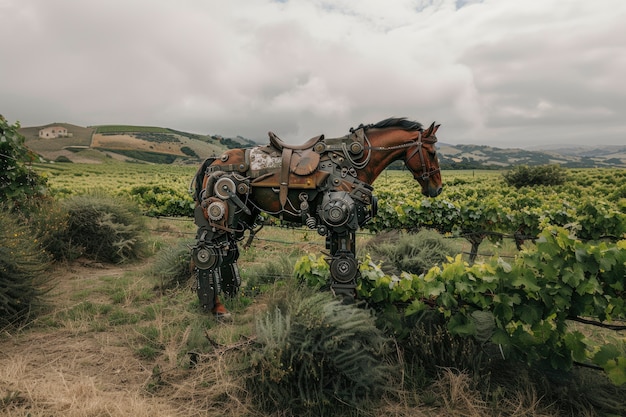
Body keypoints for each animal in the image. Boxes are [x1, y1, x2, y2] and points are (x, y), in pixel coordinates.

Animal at [188, 117, 442, 312]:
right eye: (431, 152)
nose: (437, 189)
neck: (355, 161)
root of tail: (215, 160)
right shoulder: (339, 216)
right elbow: (344, 265)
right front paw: (346, 307)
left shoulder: (344, 225)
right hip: (220, 211)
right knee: (207, 254)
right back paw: (215, 308)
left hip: (239, 218)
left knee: (228, 254)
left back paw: (230, 298)